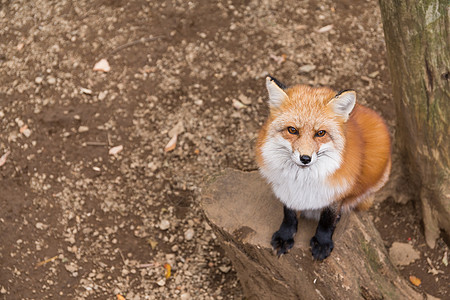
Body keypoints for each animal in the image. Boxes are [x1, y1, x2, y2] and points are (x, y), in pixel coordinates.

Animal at [256, 75, 390, 260]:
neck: (302, 180)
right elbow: (289, 215)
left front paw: (322, 242)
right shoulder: (286, 189)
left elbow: (327, 219)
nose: (305, 158)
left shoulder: (336, 190)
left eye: (320, 133)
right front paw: (285, 236)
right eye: (292, 130)